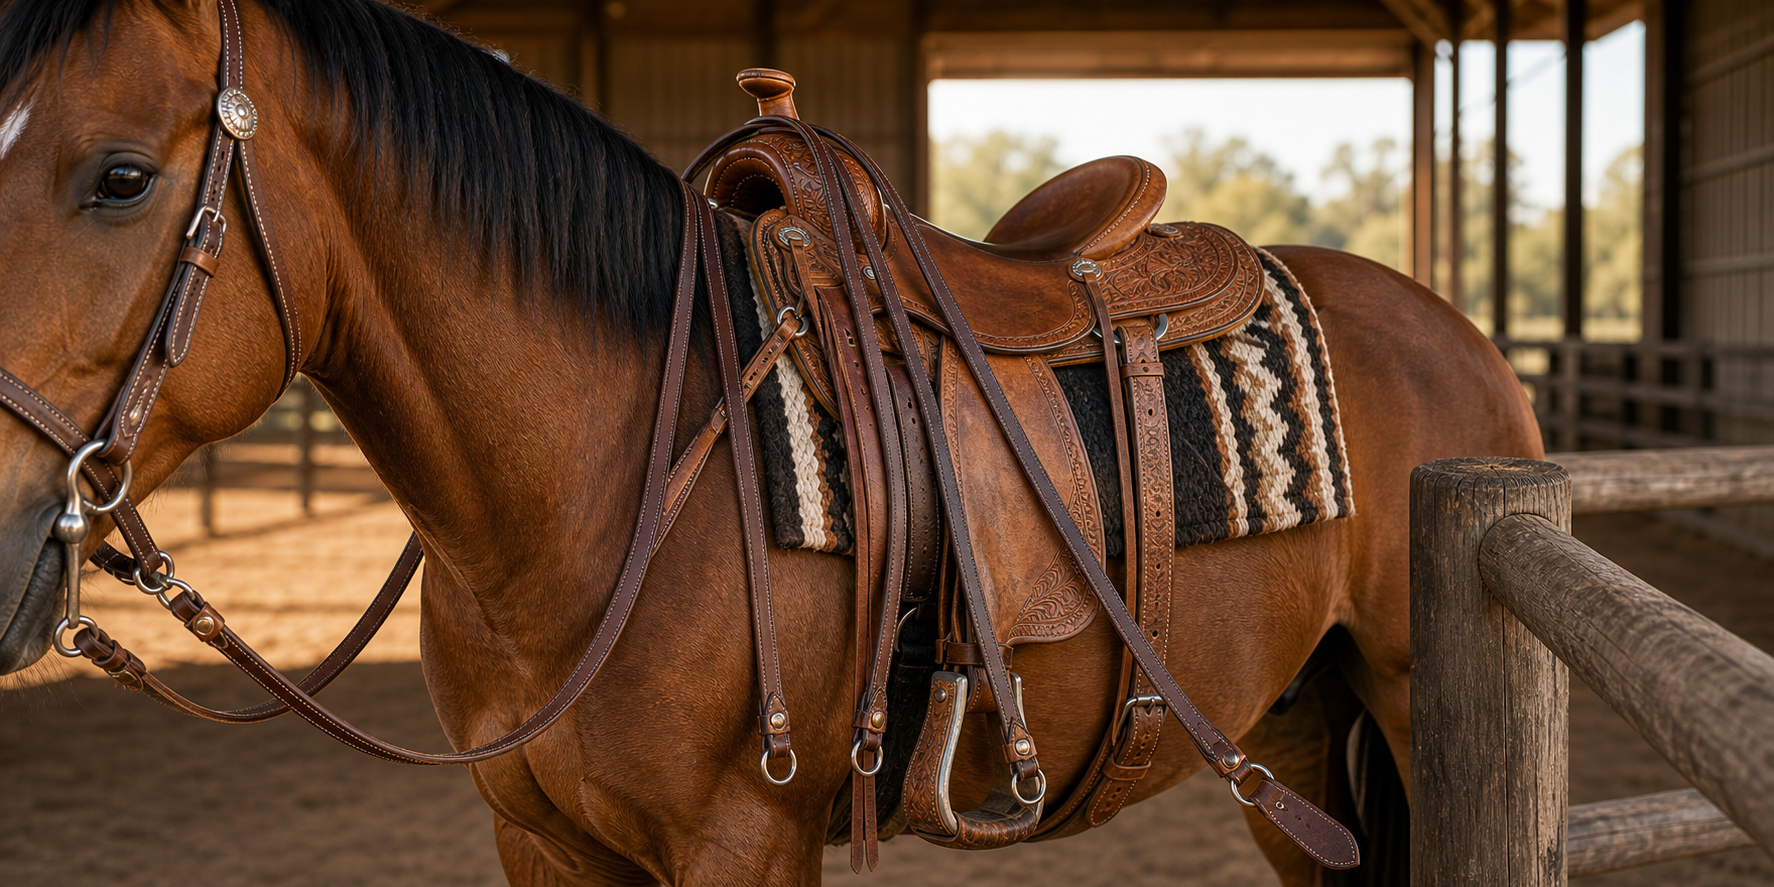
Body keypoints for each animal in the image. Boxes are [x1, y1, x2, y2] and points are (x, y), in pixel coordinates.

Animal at [0, 0, 1542, 883]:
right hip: (1291, 722)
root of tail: (1448, 327)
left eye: (121, 176)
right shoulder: (540, 839)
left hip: (1409, 704)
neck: (615, 479)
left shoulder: (741, 837)